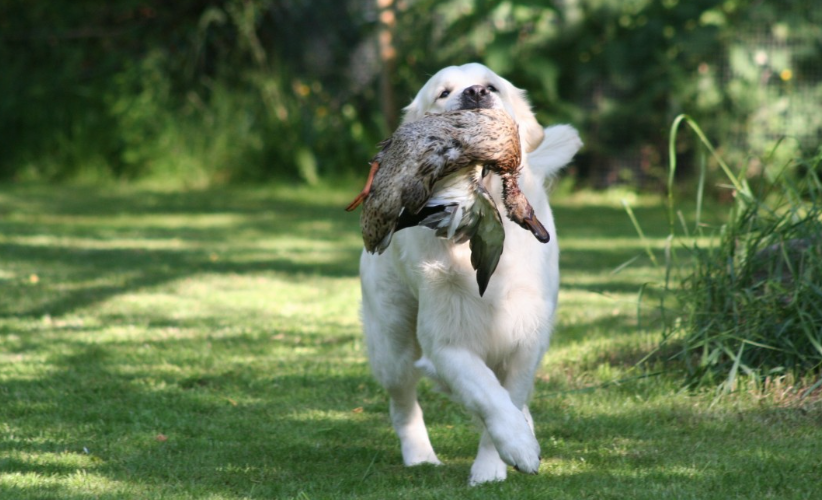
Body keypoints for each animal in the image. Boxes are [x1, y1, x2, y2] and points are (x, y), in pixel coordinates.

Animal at [362, 62, 584, 484]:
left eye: (492, 85)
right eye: (443, 93)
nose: (476, 93)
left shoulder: (528, 337)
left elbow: (508, 394)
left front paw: (493, 463)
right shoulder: (446, 341)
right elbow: (487, 394)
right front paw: (515, 448)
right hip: (392, 340)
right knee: (403, 401)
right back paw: (420, 455)